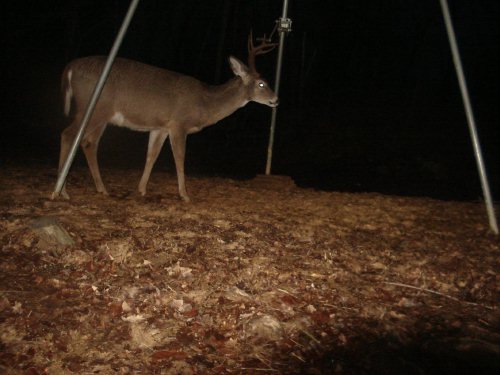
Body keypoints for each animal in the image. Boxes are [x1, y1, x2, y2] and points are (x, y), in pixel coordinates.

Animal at [56, 32, 280, 203]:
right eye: (261, 83)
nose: (276, 99)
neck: (204, 103)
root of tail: (70, 67)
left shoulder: (160, 126)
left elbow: (151, 155)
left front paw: (141, 189)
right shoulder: (178, 124)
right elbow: (179, 158)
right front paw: (185, 195)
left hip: (101, 114)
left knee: (88, 142)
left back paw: (101, 188)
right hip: (94, 107)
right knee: (68, 134)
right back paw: (61, 191)